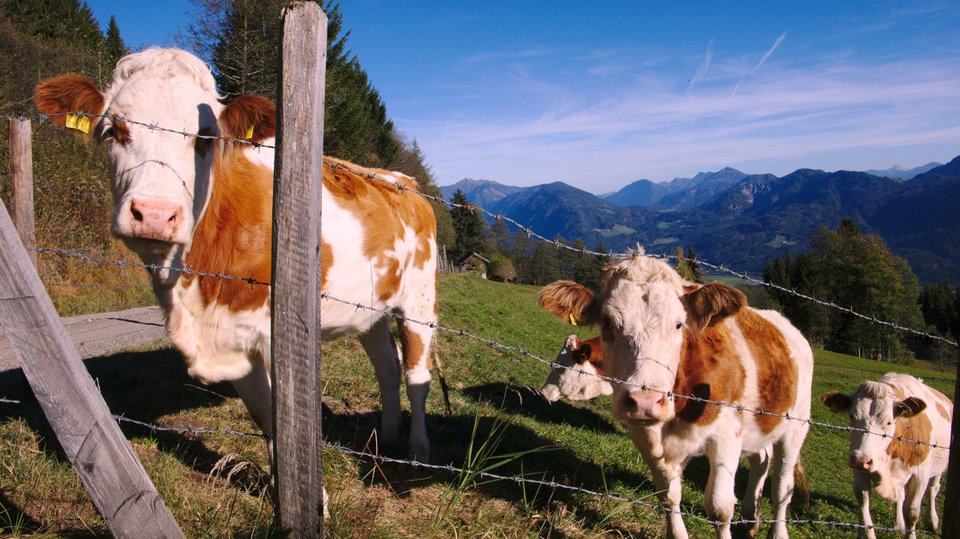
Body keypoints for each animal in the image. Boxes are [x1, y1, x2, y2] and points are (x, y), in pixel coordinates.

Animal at [34, 48, 438, 471]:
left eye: (205, 137)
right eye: (114, 130)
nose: (156, 215)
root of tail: (403, 181)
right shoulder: (231, 334)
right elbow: (264, 415)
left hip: (419, 297)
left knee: (415, 374)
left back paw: (418, 449)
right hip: (369, 308)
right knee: (387, 367)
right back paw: (387, 438)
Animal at [538, 250, 813, 539]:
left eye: (679, 324)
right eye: (607, 323)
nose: (645, 401)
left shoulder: (727, 436)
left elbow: (719, 508)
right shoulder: (645, 435)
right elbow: (668, 495)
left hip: (796, 425)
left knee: (782, 488)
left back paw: (777, 530)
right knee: (762, 459)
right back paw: (751, 519)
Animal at [821, 373, 952, 539]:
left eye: (889, 422)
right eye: (851, 416)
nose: (860, 460)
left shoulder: (920, 474)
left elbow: (912, 512)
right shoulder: (859, 468)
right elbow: (863, 500)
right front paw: (865, 532)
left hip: (940, 465)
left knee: (933, 488)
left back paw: (932, 521)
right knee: (900, 495)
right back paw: (899, 526)